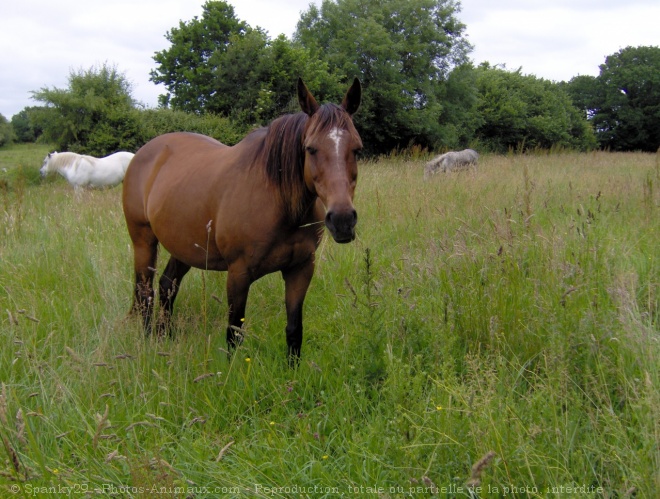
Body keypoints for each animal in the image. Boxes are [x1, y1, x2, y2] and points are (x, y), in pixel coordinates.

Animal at [121, 78, 364, 364]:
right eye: (311, 149)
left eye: (357, 149)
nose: (342, 219)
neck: (279, 204)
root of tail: (144, 152)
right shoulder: (238, 273)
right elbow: (234, 332)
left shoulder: (301, 269)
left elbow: (294, 330)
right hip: (143, 241)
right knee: (145, 292)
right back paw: (149, 339)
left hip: (184, 247)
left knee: (168, 285)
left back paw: (164, 336)